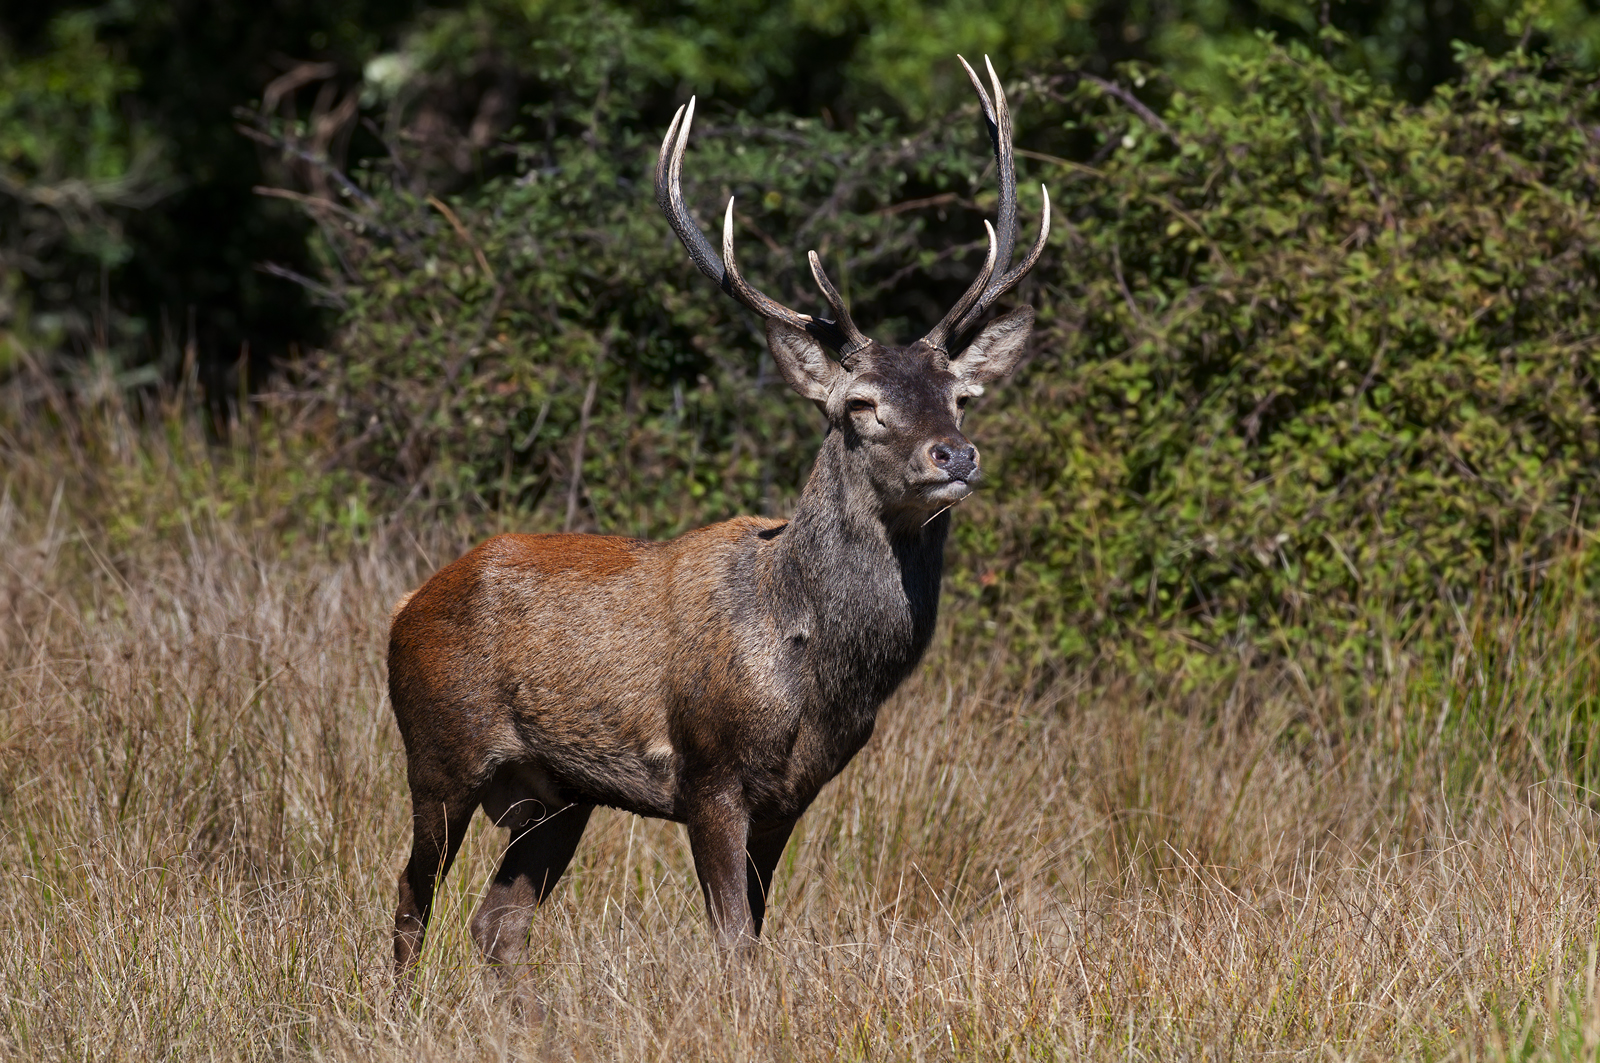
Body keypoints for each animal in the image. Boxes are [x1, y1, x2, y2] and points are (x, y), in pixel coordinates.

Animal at [387, 56, 1049, 977]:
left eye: (960, 395)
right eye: (860, 405)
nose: (952, 455)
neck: (812, 668)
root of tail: (404, 608)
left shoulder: (790, 796)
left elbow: (756, 935)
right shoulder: (709, 770)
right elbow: (733, 941)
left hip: (560, 796)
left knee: (496, 922)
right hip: (438, 753)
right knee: (411, 899)